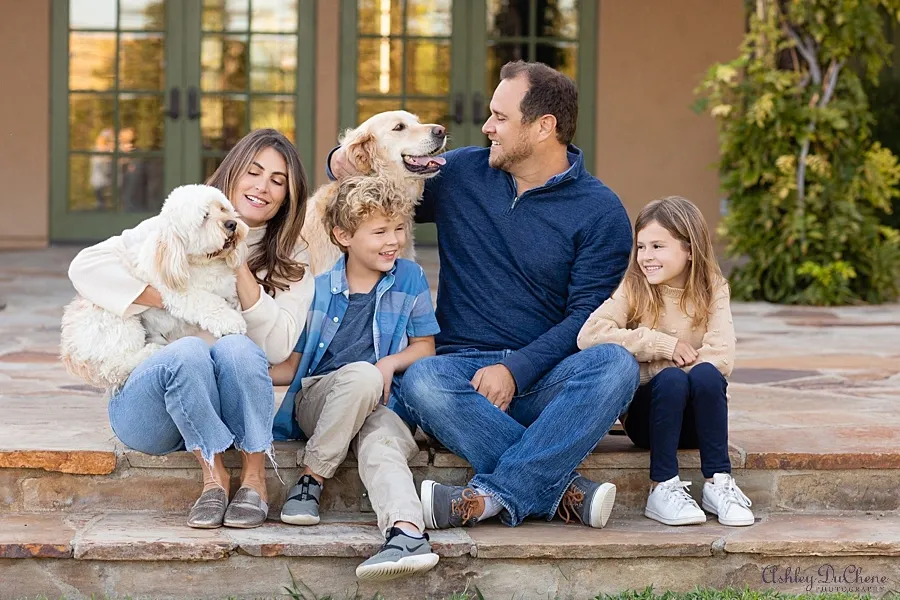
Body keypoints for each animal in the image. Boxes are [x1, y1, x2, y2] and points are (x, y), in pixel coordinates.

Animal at [59, 184, 250, 390]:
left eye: (223, 209)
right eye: (204, 216)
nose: (232, 224)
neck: (200, 262)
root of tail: (70, 349)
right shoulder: (179, 294)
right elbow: (209, 302)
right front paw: (231, 321)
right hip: (119, 322)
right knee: (114, 368)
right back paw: (150, 351)